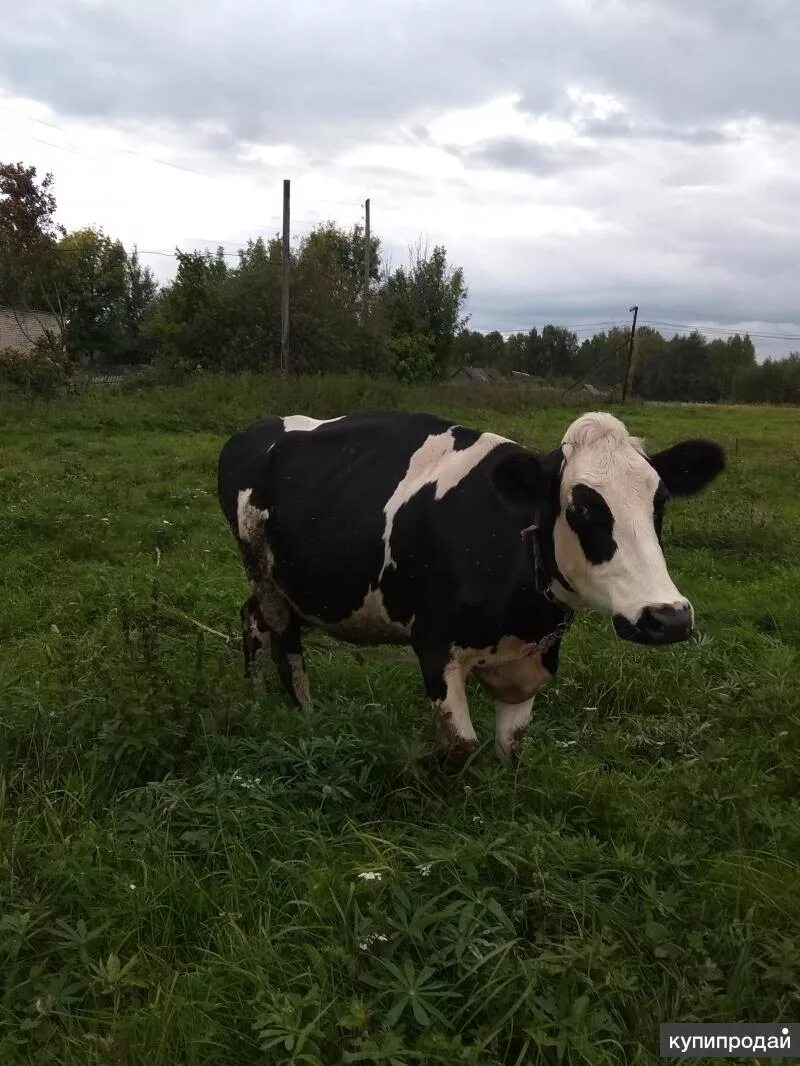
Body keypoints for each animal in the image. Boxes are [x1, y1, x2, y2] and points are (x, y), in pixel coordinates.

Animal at [217, 407, 725, 767]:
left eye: (660, 501)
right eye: (581, 508)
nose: (668, 618)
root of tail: (254, 430)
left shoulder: (530, 659)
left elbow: (512, 747)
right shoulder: (433, 645)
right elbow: (461, 745)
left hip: (298, 586)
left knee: (250, 619)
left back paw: (254, 700)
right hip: (264, 572)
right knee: (286, 649)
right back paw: (304, 716)